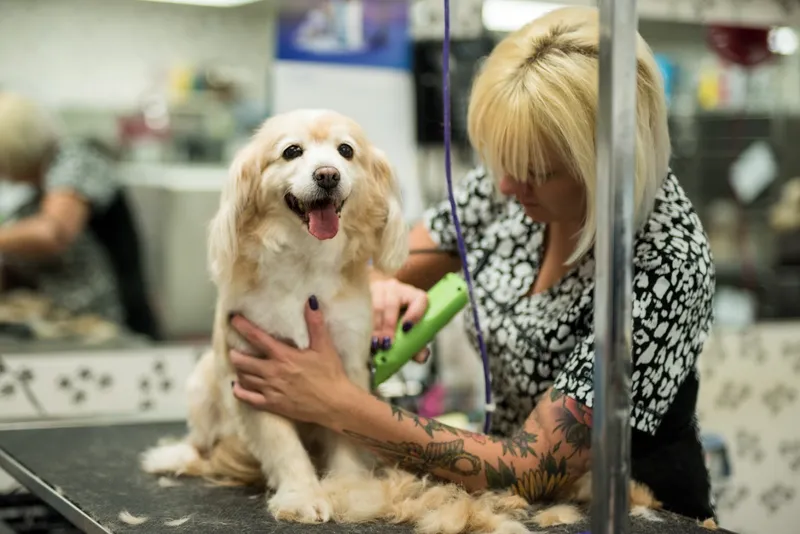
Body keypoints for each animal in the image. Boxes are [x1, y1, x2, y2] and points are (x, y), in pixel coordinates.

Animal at [138, 108, 410, 524]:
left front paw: (348, 487)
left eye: (346, 151)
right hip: (202, 380)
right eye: (292, 151)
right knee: (199, 444)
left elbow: (346, 432)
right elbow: (283, 446)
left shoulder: (348, 369)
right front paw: (302, 496)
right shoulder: (249, 373)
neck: (305, 266)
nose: (327, 174)